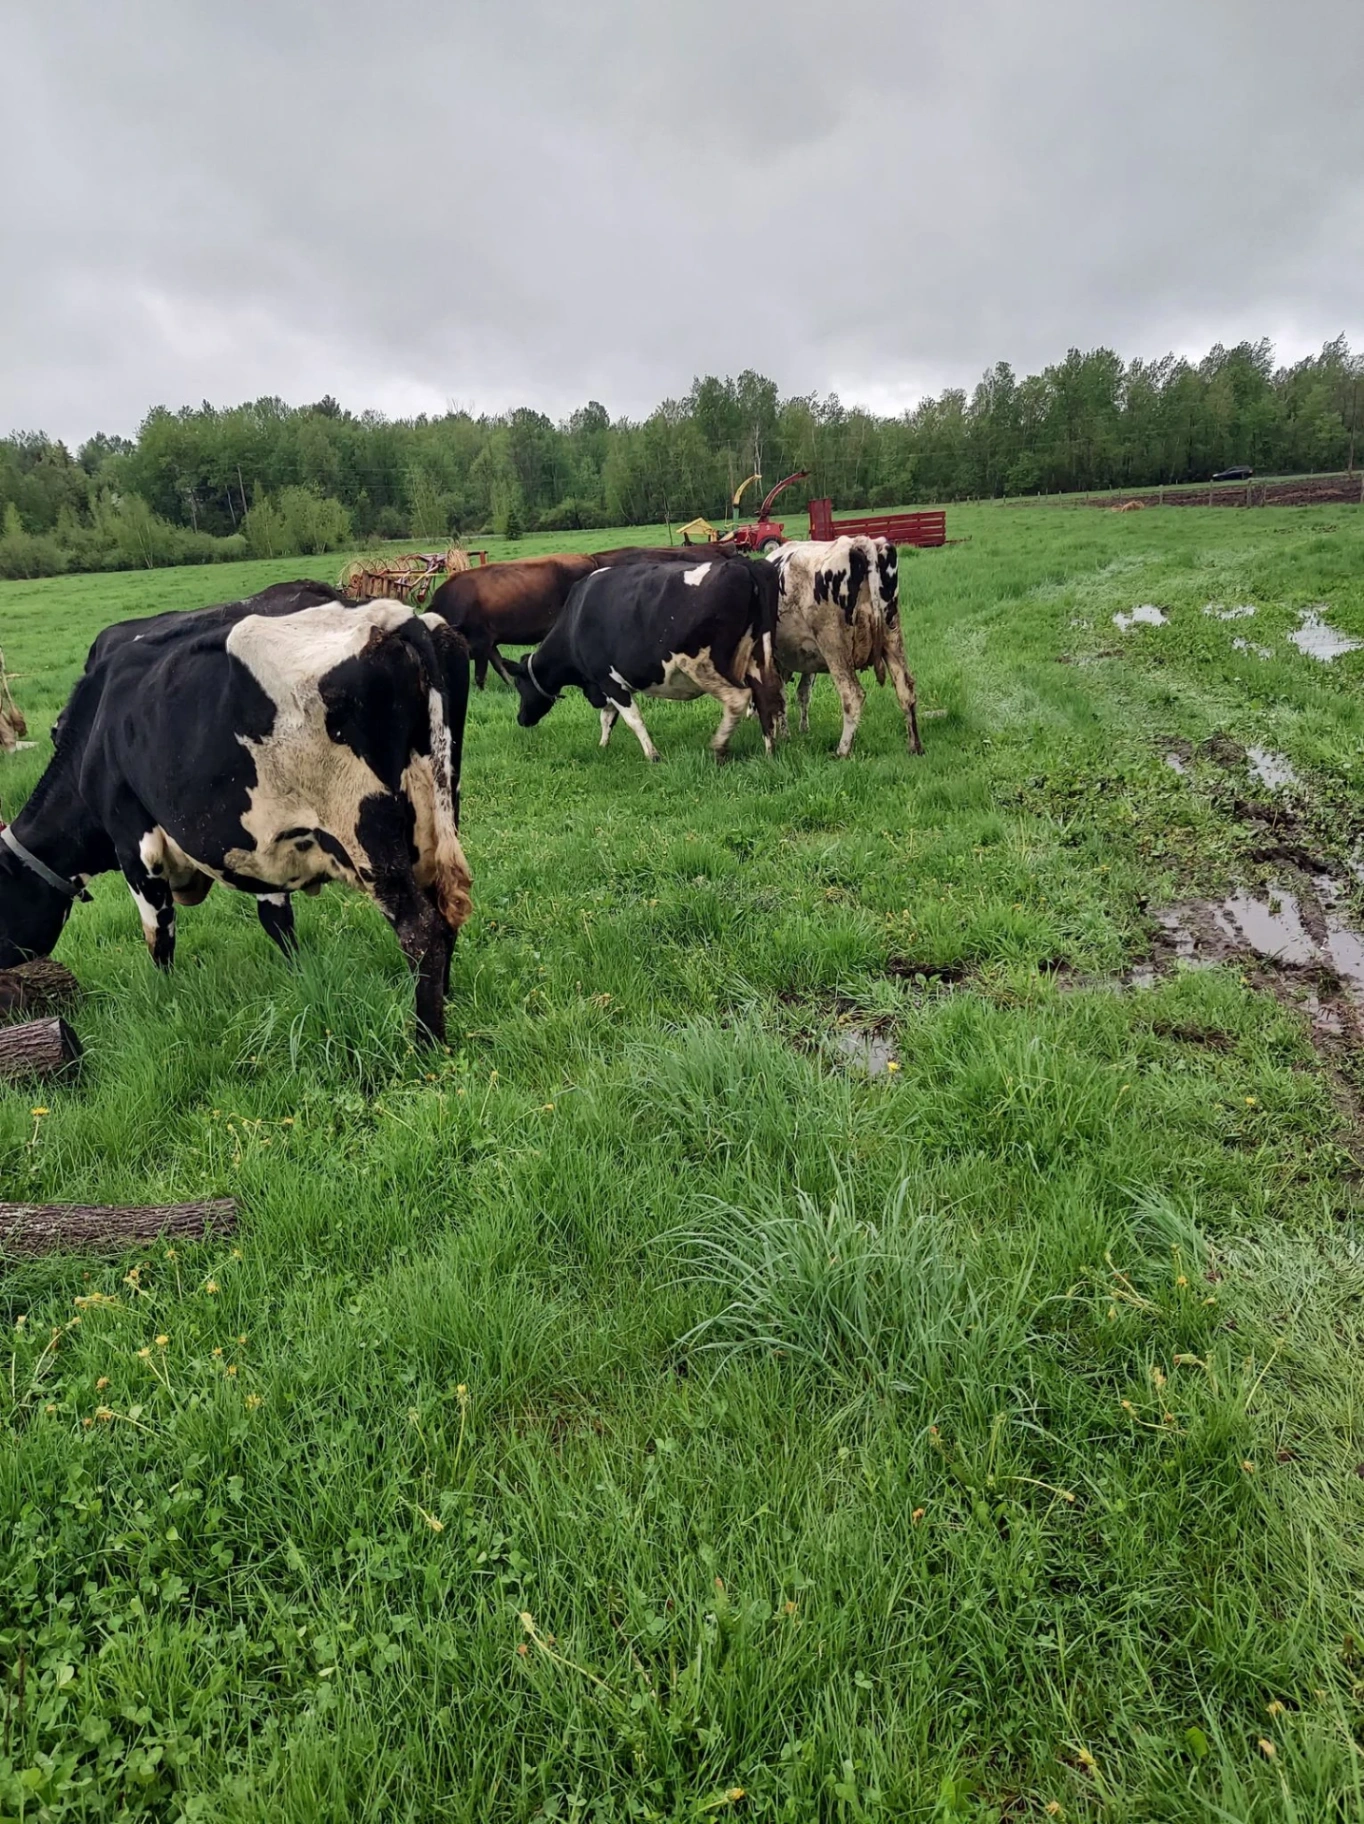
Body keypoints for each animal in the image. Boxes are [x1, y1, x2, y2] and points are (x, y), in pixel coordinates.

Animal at [0, 600, 472, 1042]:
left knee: (420, 931)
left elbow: (159, 936)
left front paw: (166, 1000)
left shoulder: (134, 843)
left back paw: (427, 1041)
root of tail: (396, 618)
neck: (93, 736)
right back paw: (447, 1002)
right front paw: (300, 975)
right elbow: (277, 921)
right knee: (445, 917)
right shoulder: (264, 844)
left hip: (368, 836)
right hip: (436, 817)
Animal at [506, 556, 784, 762]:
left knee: (738, 698)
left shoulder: (609, 680)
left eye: (519, 685)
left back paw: (719, 746)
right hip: (757, 657)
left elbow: (632, 719)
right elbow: (607, 717)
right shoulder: (604, 683)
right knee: (766, 696)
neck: (574, 620)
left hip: (704, 665)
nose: (521, 718)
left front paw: (652, 755)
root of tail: (743, 563)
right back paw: (769, 750)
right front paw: (603, 744)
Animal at [768, 536, 922, 757]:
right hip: (892, 637)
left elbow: (779, 696)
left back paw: (842, 751)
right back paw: (914, 746)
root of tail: (858, 543)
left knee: (852, 695)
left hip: (834, 645)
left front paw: (783, 735)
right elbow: (797, 694)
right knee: (905, 691)